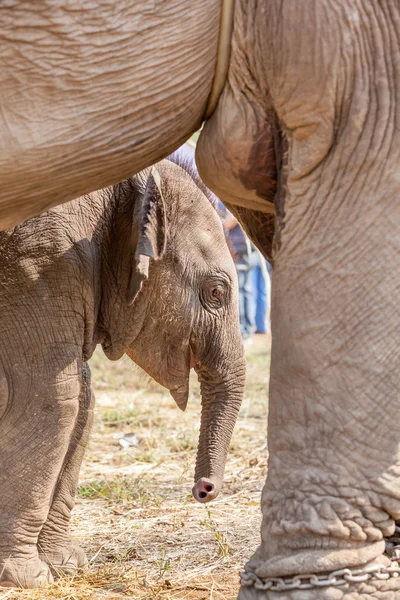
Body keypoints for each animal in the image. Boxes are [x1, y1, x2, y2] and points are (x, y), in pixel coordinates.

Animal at [0, 154, 245, 584]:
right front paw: (29, 579)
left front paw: (67, 564)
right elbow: (50, 397)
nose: (204, 490)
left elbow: (84, 398)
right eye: (217, 292)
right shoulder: (38, 263)